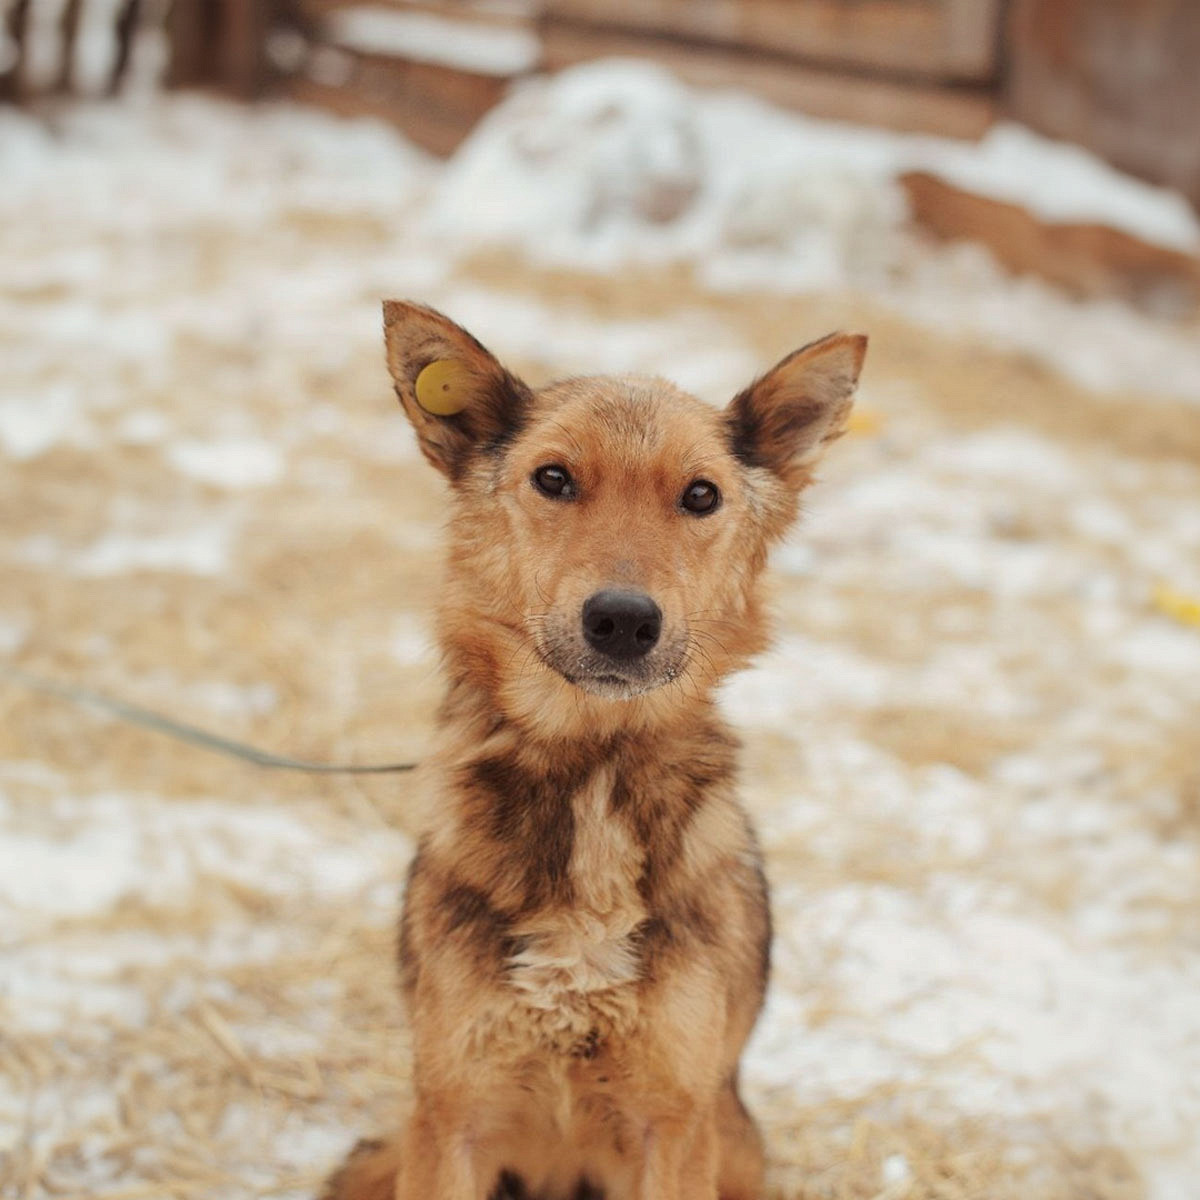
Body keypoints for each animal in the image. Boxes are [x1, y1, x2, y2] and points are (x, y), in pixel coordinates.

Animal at [319, 302, 864, 1200]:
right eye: (553, 479)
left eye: (701, 495)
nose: (622, 620)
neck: (593, 774)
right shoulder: (452, 1116)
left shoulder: (672, 1128)